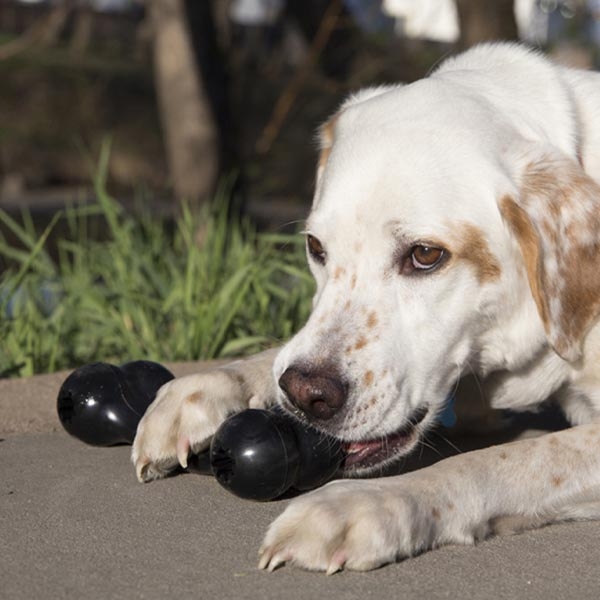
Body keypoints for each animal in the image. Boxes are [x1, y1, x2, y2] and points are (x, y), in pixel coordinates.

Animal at [134, 44, 600, 576]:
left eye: (426, 254)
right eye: (315, 246)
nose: (307, 396)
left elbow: (507, 458)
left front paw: (367, 503)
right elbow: (273, 357)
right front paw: (205, 387)